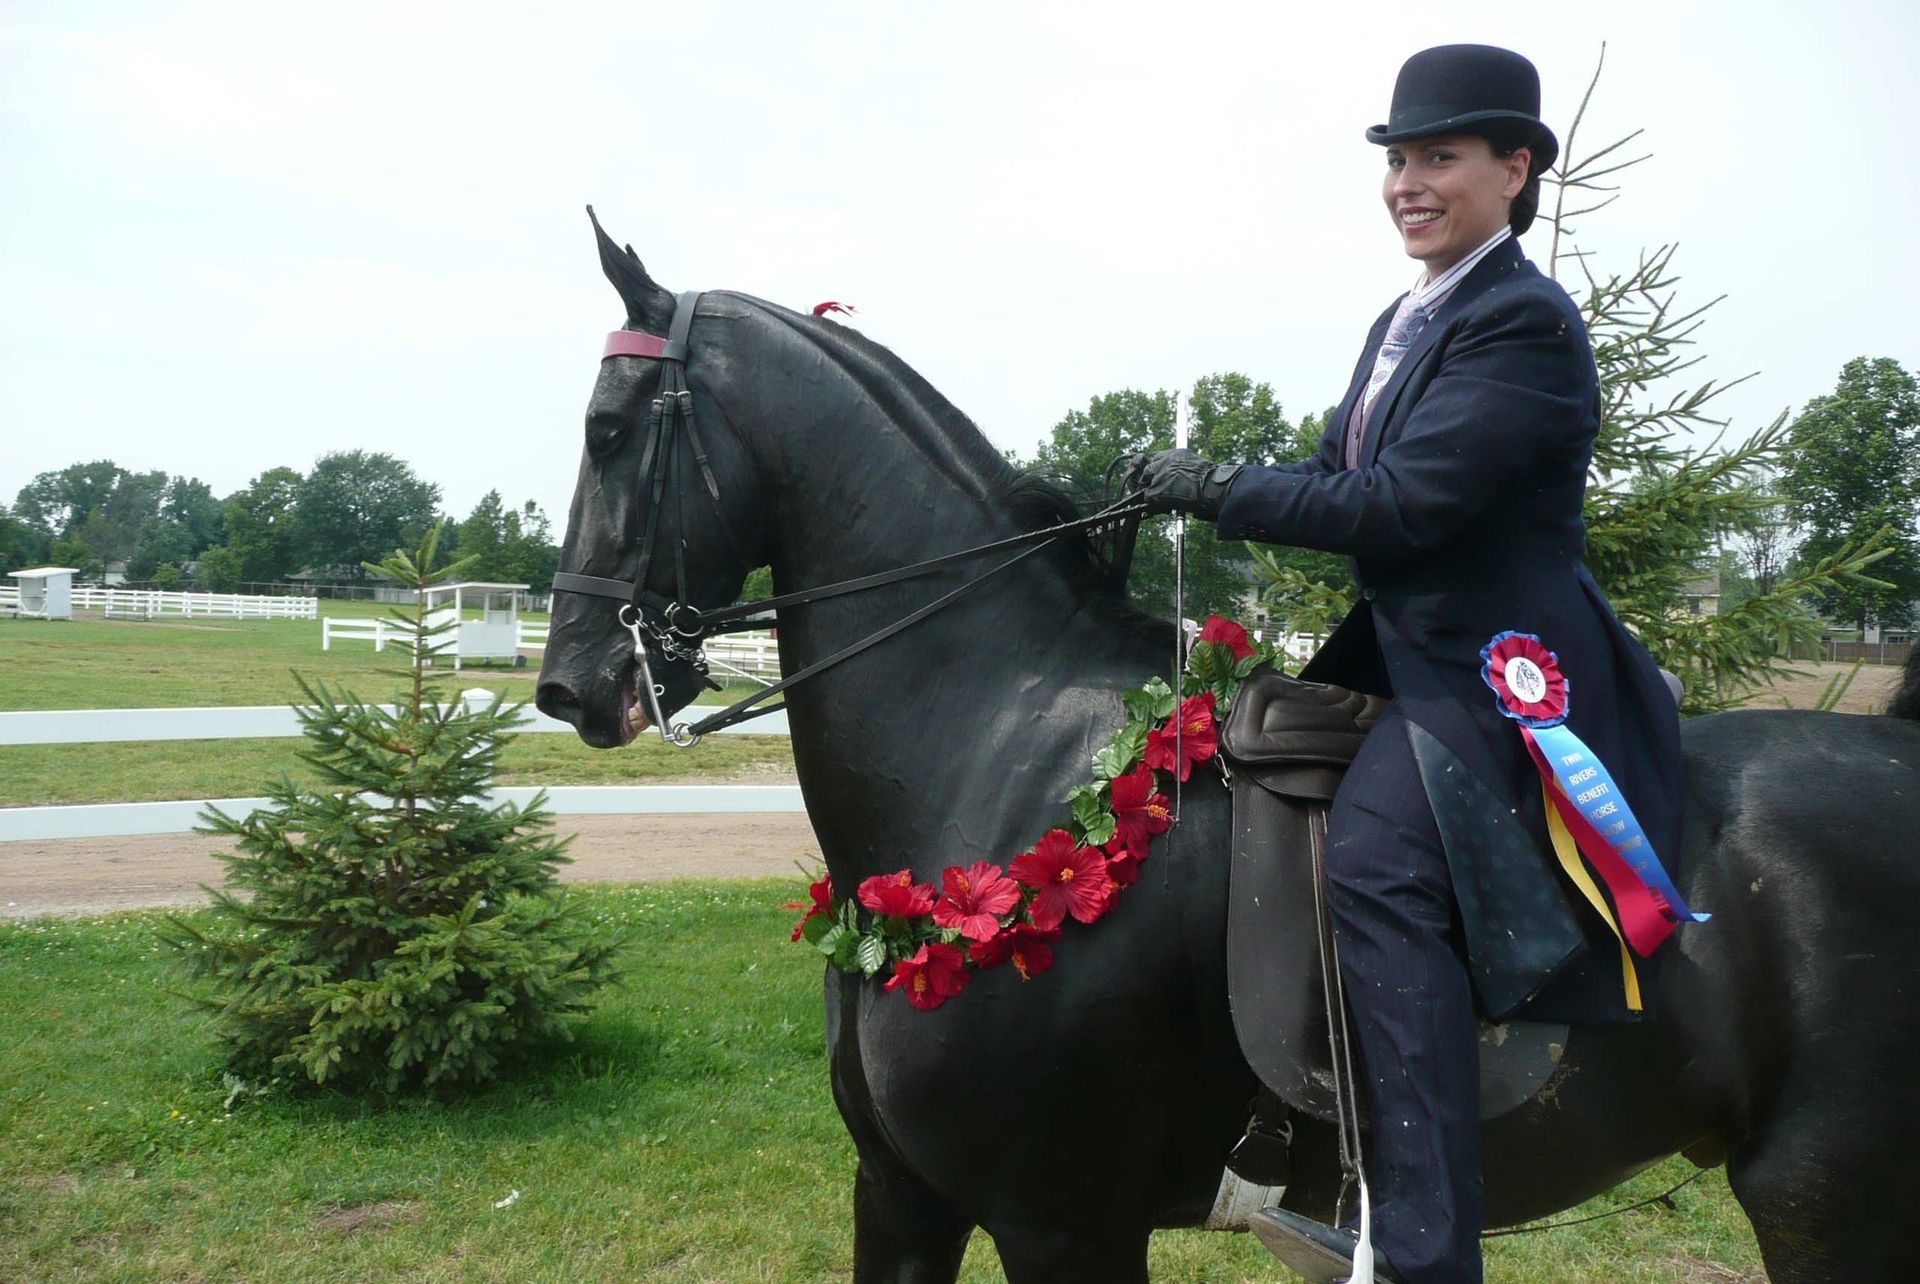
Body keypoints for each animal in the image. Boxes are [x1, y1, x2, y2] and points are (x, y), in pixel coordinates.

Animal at [535, 218, 1920, 1283]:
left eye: (606, 430)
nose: (571, 687)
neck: (999, 762)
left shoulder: (1061, 1223)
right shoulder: (903, 1200)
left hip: (1826, 1199)